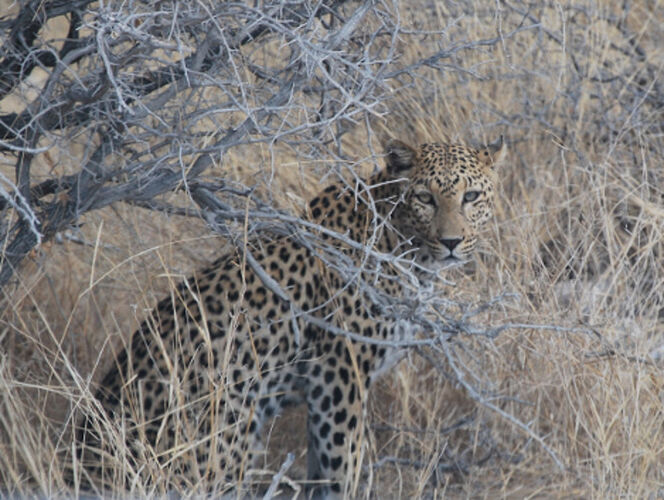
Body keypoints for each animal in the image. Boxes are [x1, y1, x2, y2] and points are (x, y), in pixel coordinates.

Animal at [75, 136, 506, 496]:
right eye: (425, 198)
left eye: (471, 196)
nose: (451, 242)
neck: (406, 247)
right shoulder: (340, 374)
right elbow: (343, 467)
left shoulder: (328, 388)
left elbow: (322, 466)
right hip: (223, 438)